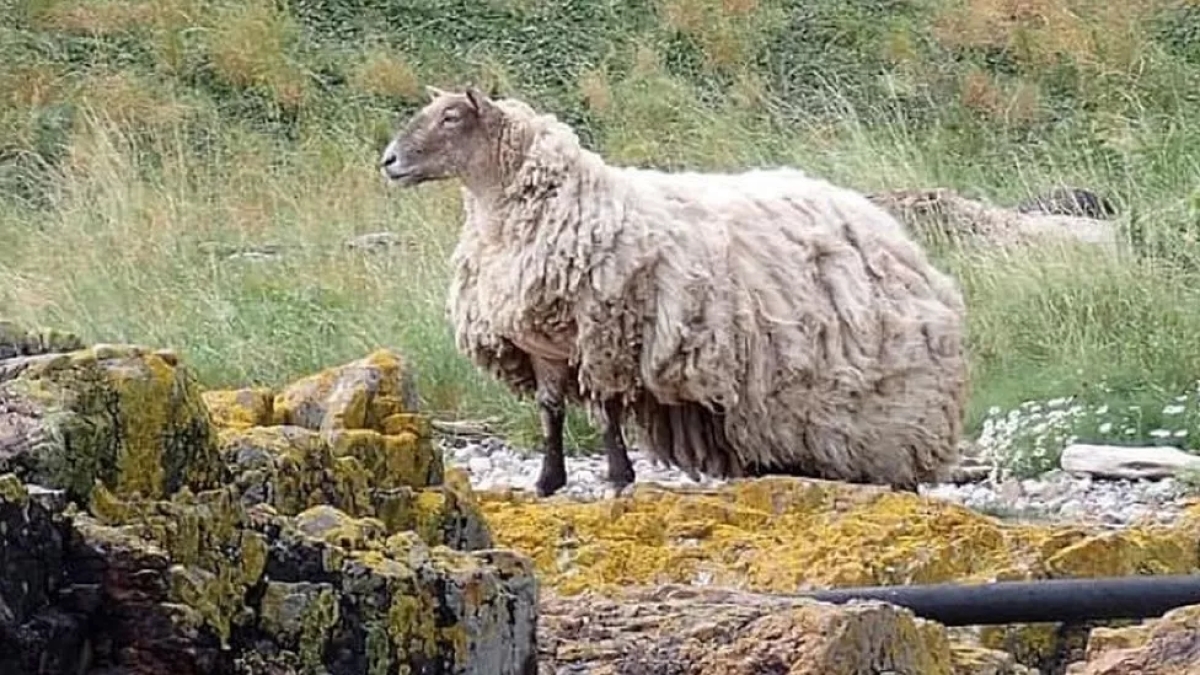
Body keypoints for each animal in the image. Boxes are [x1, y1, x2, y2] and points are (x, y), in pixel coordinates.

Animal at [379, 82, 969, 494]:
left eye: (451, 116)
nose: (388, 161)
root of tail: (895, 236)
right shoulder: (541, 344)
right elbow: (550, 412)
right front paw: (548, 482)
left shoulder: (605, 334)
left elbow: (606, 411)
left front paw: (619, 478)